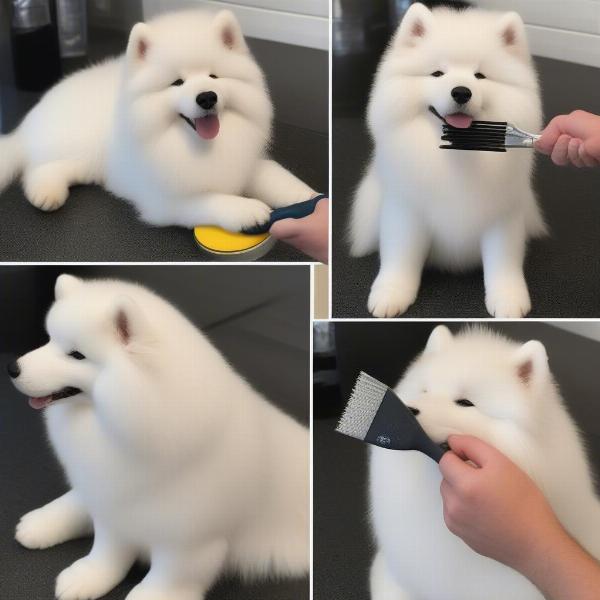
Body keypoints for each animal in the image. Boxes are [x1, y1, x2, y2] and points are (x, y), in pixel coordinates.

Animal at [0, 12, 314, 232]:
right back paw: (45, 194)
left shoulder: (242, 164)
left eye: (213, 76)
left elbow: (277, 176)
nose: (207, 97)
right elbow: (212, 199)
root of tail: (26, 124)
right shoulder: (165, 200)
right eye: (177, 82)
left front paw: (309, 197)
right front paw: (247, 210)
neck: (198, 146)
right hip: (80, 149)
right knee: (37, 169)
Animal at [8, 276, 310, 600]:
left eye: (77, 355)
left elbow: (171, 575)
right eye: (49, 340)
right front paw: (87, 576)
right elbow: (107, 552)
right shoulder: (114, 508)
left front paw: (150, 593)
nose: (12, 368)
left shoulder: (189, 540)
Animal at [350, 3, 548, 318]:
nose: (461, 91)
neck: (457, 152)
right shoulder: (405, 212)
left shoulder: (502, 216)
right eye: (437, 73)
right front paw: (391, 293)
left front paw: (507, 298)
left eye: (479, 76)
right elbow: (400, 255)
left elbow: (503, 262)